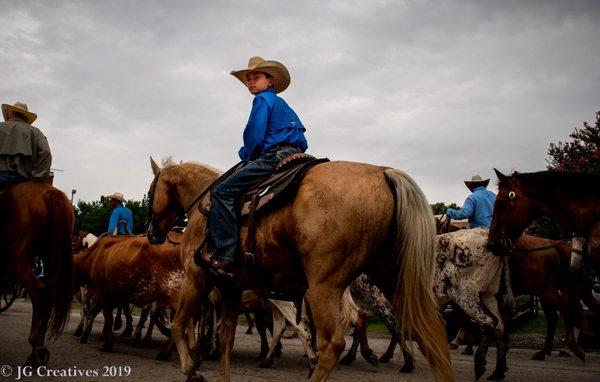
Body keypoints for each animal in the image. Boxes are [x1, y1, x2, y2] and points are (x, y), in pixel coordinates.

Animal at [0, 182, 74, 368]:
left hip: (19, 258)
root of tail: (49, 192)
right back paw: (38, 350)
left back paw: (36, 347)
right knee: (48, 295)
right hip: (50, 257)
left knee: (38, 292)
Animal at [146, 157, 454, 382]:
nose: (151, 234)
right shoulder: (230, 287)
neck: (205, 205)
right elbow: (226, 337)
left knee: (332, 342)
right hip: (396, 281)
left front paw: (191, 369)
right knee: (432, 336)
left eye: (150, 193)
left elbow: (179, 324)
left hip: (324, 288)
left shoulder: (195, 278)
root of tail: (385, 173)